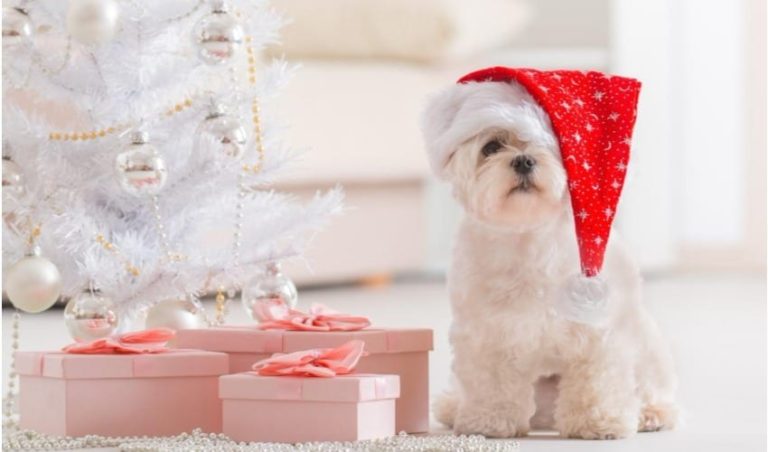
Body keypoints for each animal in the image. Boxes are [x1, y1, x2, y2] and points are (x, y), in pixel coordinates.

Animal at [424, 69, 680, 440]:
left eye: (554, 145)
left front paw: (597, 422)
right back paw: (454, 406)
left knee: (650, 385)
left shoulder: (599, 330)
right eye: (491, 147)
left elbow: (596, 381)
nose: (524, 159)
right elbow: (491, 382)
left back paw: (650, 412)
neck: (528, 235)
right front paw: (489, 421)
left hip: (647, 348)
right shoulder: (487, 333)